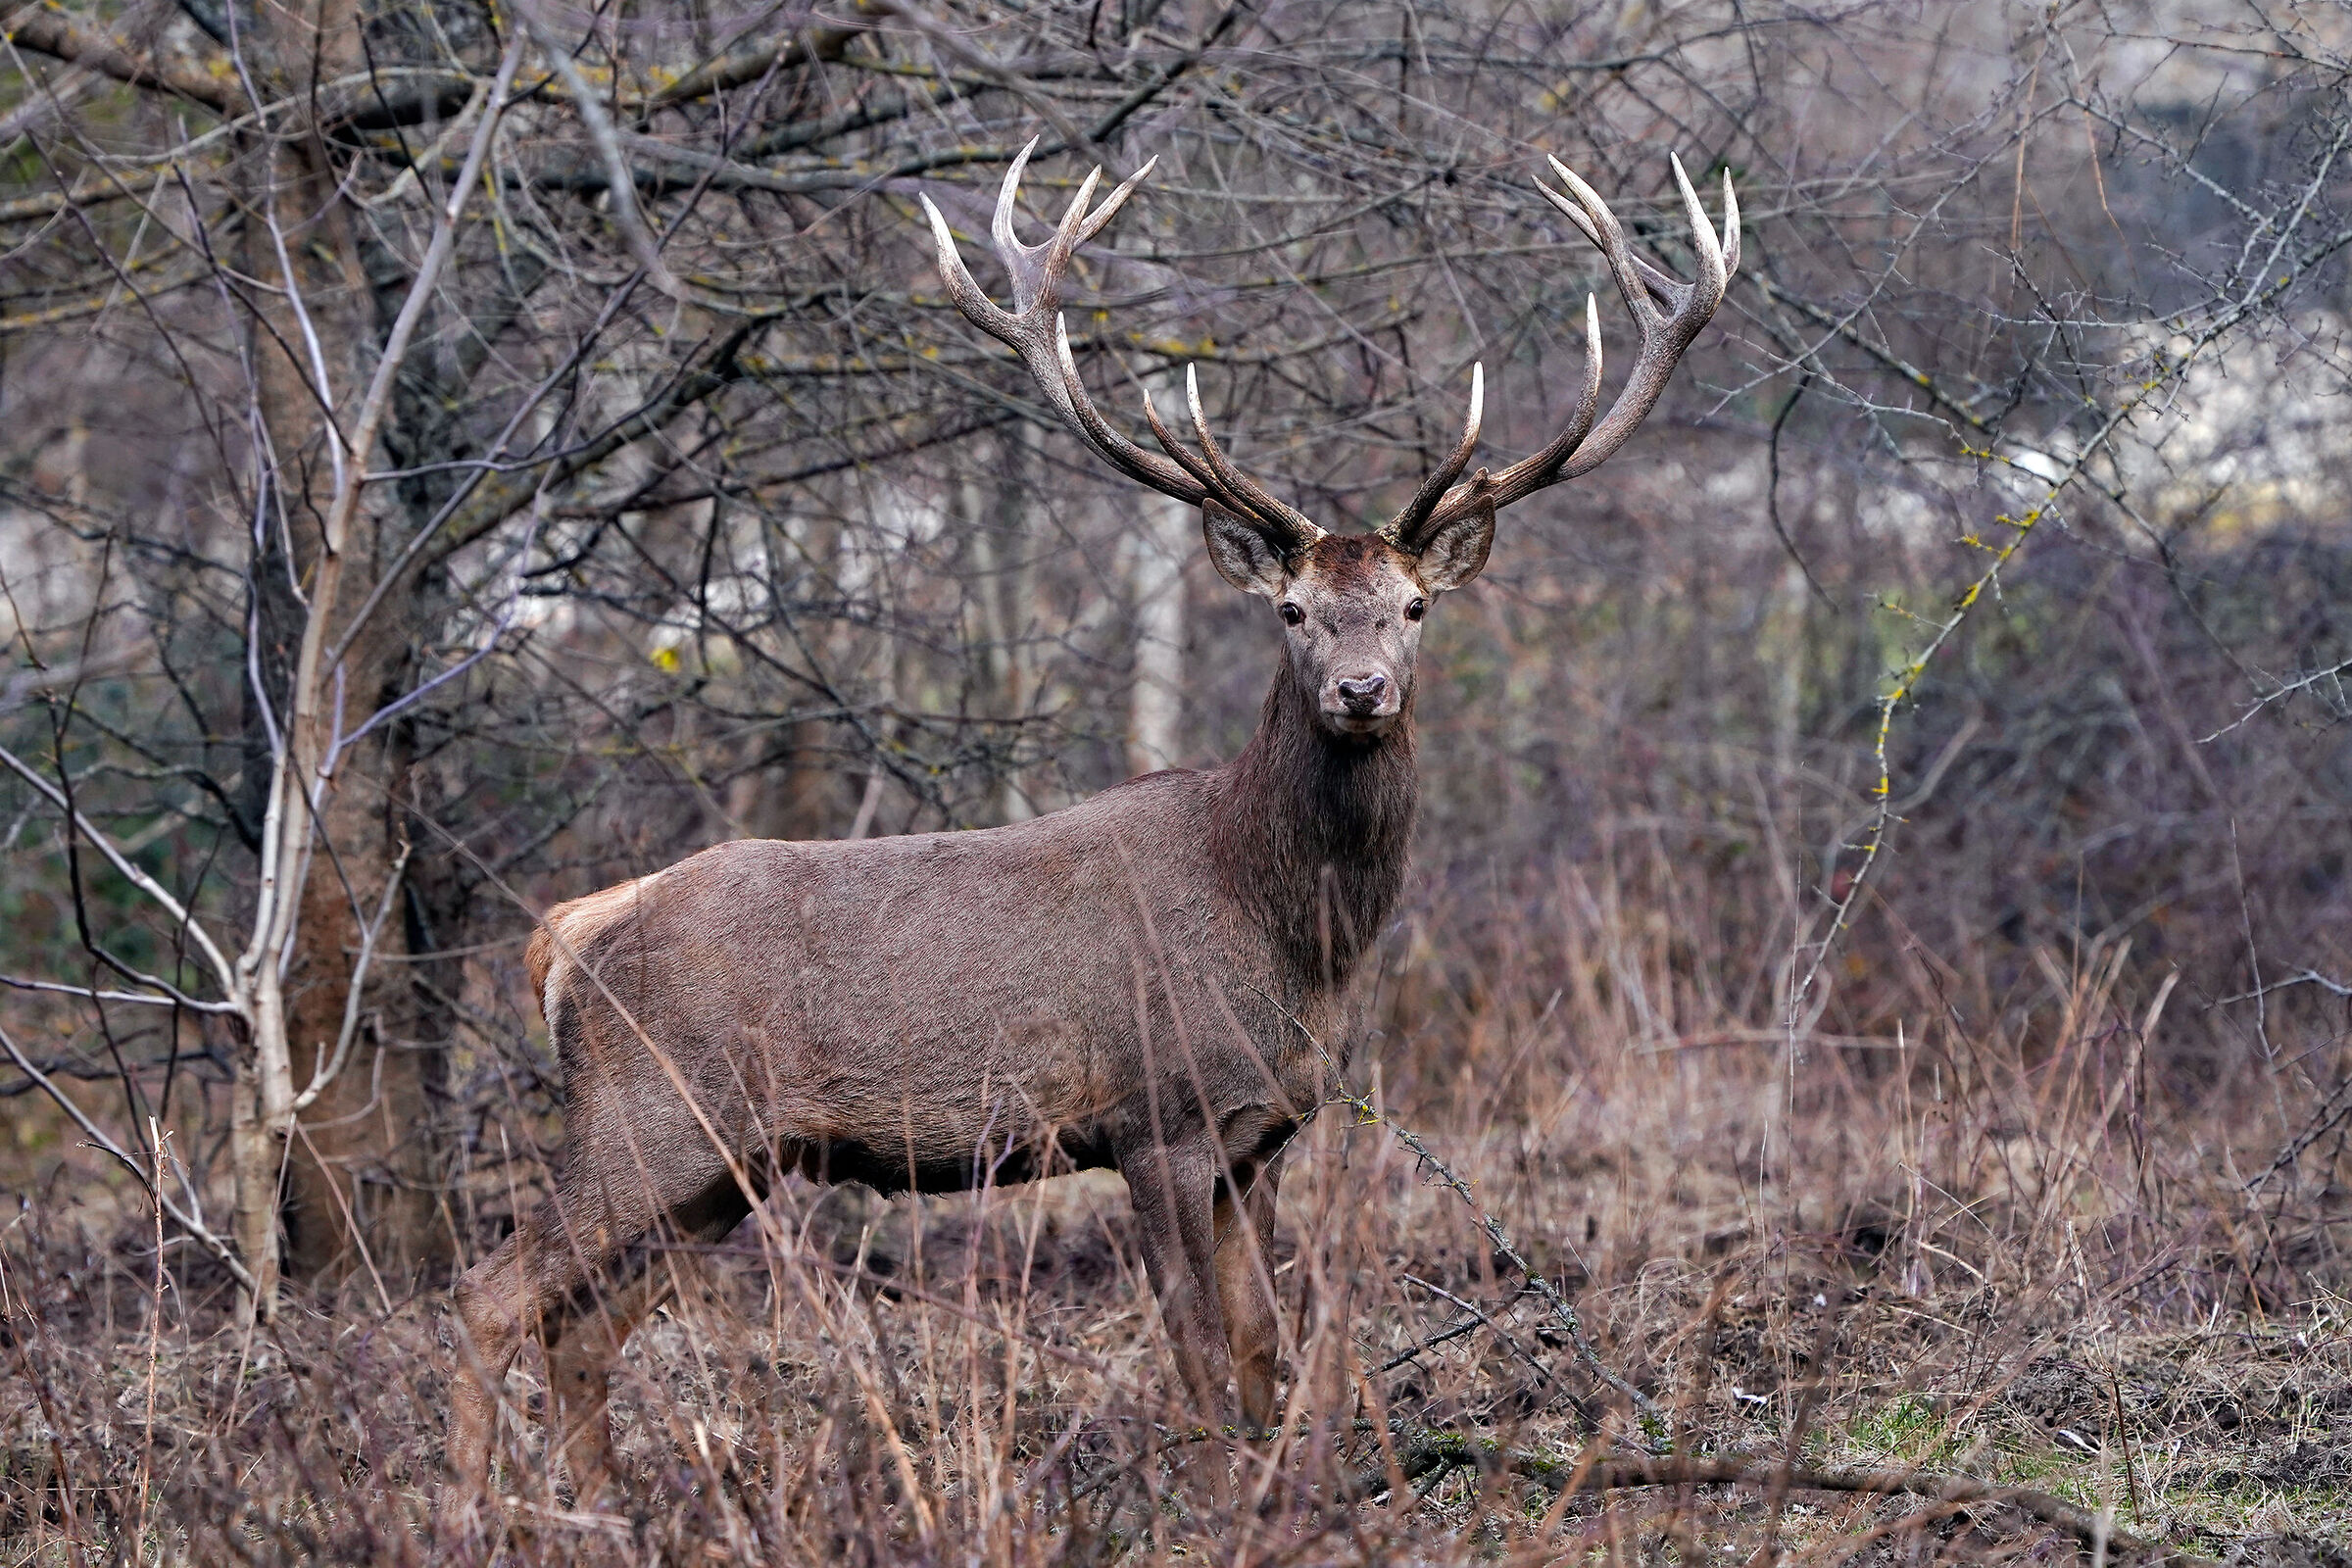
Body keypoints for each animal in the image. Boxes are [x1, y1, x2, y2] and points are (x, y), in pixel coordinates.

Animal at [443, 139, 1735, 1512]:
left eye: (1415, 605)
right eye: (1291, 609)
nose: (1360, 691)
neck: (1288, 932)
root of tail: (567, 932)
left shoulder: (1260, 1133)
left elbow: (1267, 1342)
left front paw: (1286, 1495)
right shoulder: (1152, 1113)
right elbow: (1198, 1347)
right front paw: (1219, 1501)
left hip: (721, 1166)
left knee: (581, 1324)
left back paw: (596, 1500)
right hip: (650, 1111)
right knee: (492, 1291)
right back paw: (472, 1501)